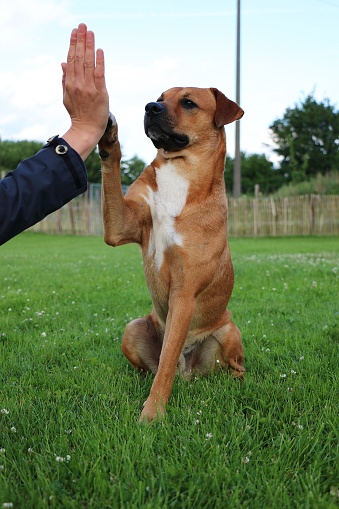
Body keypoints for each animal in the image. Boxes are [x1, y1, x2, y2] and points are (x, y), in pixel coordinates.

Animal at [99, 86, 246, 420]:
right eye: (160, 98)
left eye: (189, 102)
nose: (149, 107)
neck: (181, 170)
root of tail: (187, 370)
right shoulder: (121, 227)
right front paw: (108, 138)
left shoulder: (184, 292)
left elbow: (166, 362)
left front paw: (152, 414)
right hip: (133, 328)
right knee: (152, 367)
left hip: (229, 330)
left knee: (234, 365)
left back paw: (235, 381)